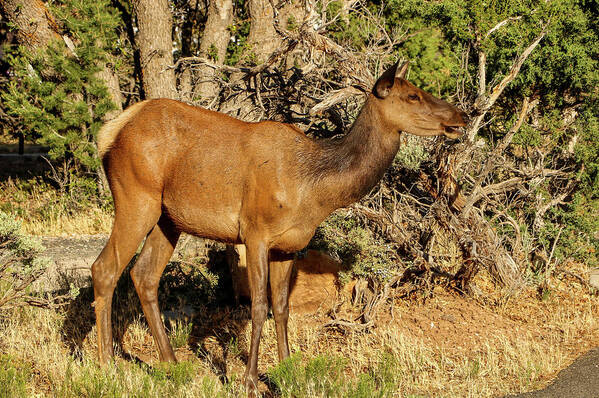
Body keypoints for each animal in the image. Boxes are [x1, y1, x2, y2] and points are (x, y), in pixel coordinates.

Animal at [92, 62, 468, 392]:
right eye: (412, 96)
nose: (461, 116)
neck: (315, 191)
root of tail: (108, 133)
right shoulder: (255, 232)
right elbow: (259, 307)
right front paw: (249, 382)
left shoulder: (290, 246)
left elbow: (283, 308)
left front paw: (288, 370)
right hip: (136, 196)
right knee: (104, 268)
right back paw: (107, 365)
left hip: (168, 218)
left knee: (144, 274)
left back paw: (170, 363)